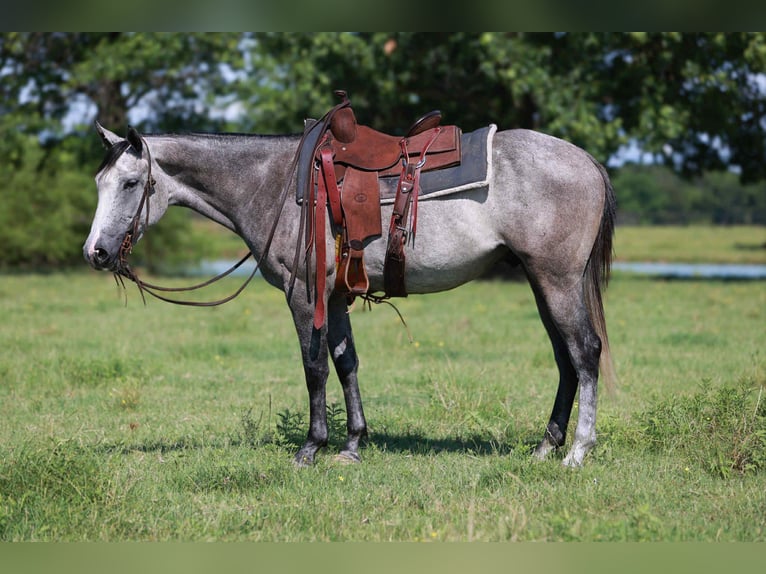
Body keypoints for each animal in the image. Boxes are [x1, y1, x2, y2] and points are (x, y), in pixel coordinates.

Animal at [83, 119, 616, 467]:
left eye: (130, 183)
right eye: (99, 182)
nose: (96, 253)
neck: (273, 184)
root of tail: (586, 159)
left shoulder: (304, 293)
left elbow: (315, 367)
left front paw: (311, 448)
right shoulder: (336, 296)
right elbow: (346, 363)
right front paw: (353, 444)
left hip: (557, 279)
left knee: (585, 352)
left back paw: (577, 452)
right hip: (541, 281)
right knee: (566, 360)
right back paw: (546, 447)